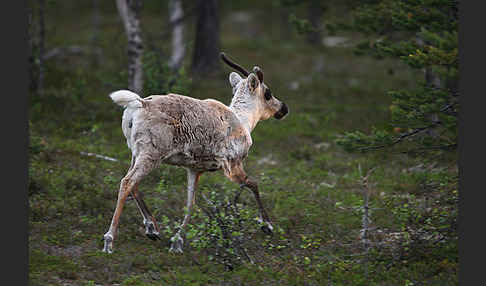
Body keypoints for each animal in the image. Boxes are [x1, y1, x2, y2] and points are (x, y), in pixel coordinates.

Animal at [100, 52, 286, 254]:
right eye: (268, 93)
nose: (284, 108)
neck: (244, 121)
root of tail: (139, 103)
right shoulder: (232, 165)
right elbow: (253, 184)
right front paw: (267, 225)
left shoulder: (194, 169)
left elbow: (190, 203)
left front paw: (177, 241)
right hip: (151, 153)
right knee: (127, 182)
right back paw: (110, 240)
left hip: (135, 152)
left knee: (132, 184)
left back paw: (152, 228)